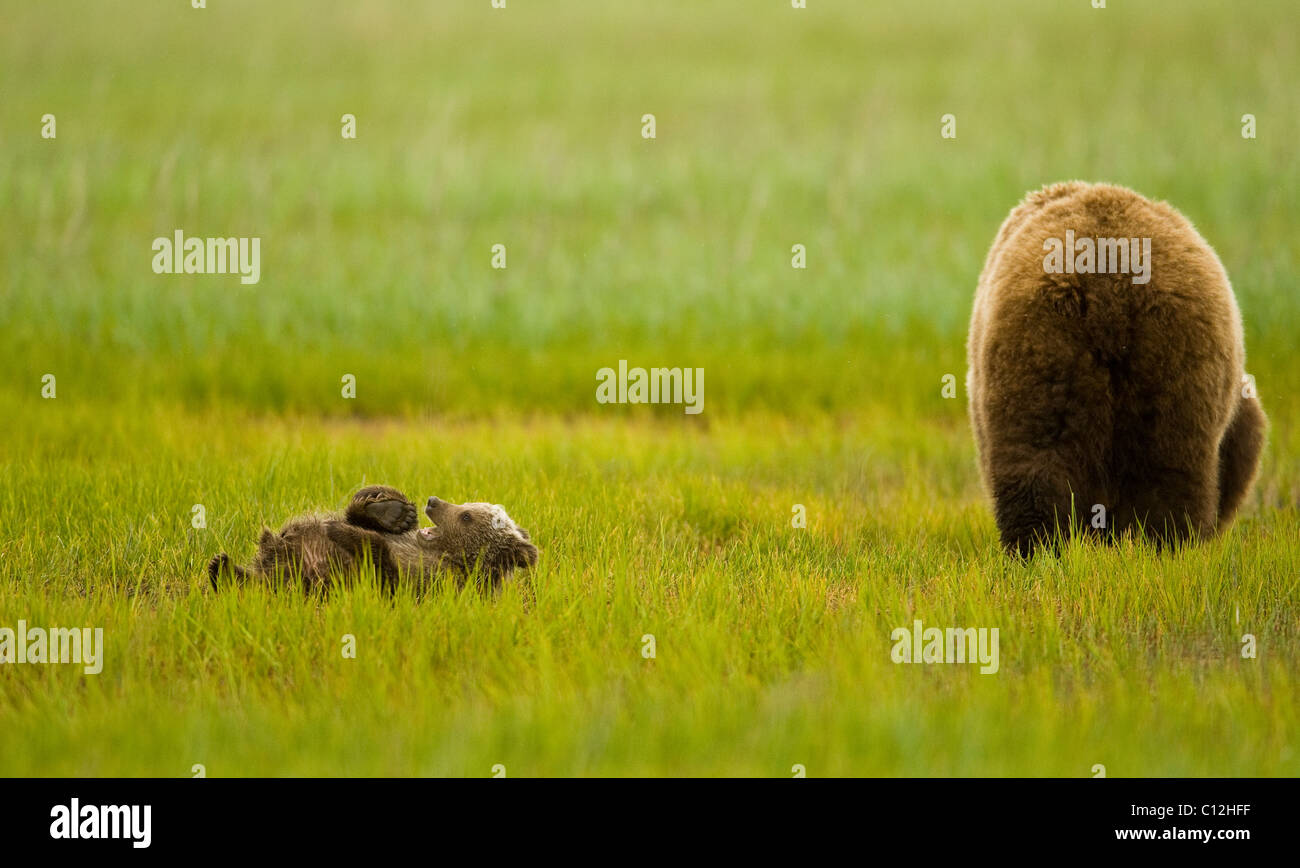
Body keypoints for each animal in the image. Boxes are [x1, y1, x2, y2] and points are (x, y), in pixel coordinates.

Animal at [207, 485, 539, 593]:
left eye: (467, 516)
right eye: (468, 504)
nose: (433, 501)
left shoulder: (430, 580)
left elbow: (380, 559)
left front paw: (340, 531)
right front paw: (394, 512)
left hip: (304, 577)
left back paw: (222, 570)